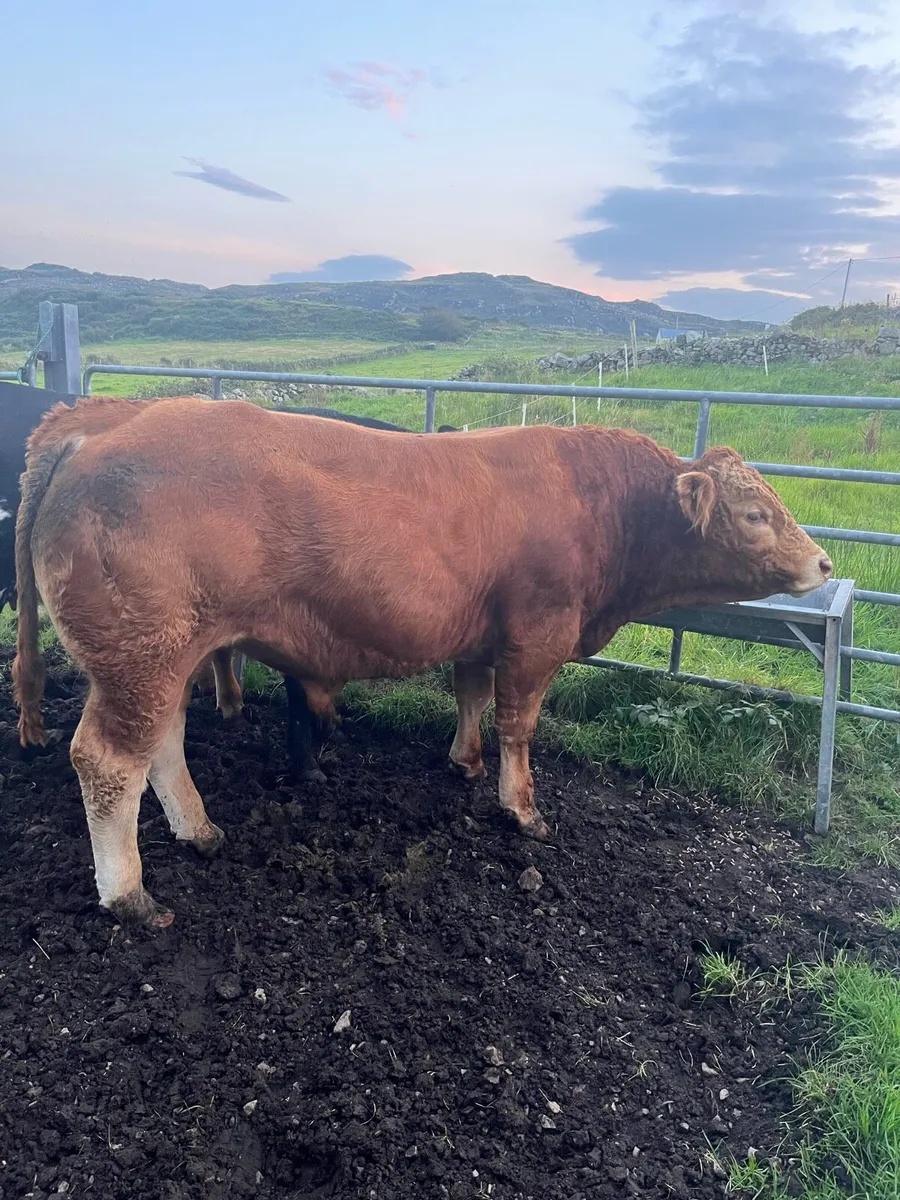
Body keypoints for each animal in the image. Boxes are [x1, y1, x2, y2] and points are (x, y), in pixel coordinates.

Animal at [13, 395, 832, 927]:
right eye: (754, 514)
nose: (824, 562)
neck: (601, 504)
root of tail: (92, 435)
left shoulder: (478, 634)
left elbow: (471, 697)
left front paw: (465, 763)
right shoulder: (538, 634)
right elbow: (519, 723)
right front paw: (521, 807)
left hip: (175, 655)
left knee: (164, 744)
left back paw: (200, 830)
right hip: (140, 657)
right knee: (109, 759)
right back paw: (129, 895)